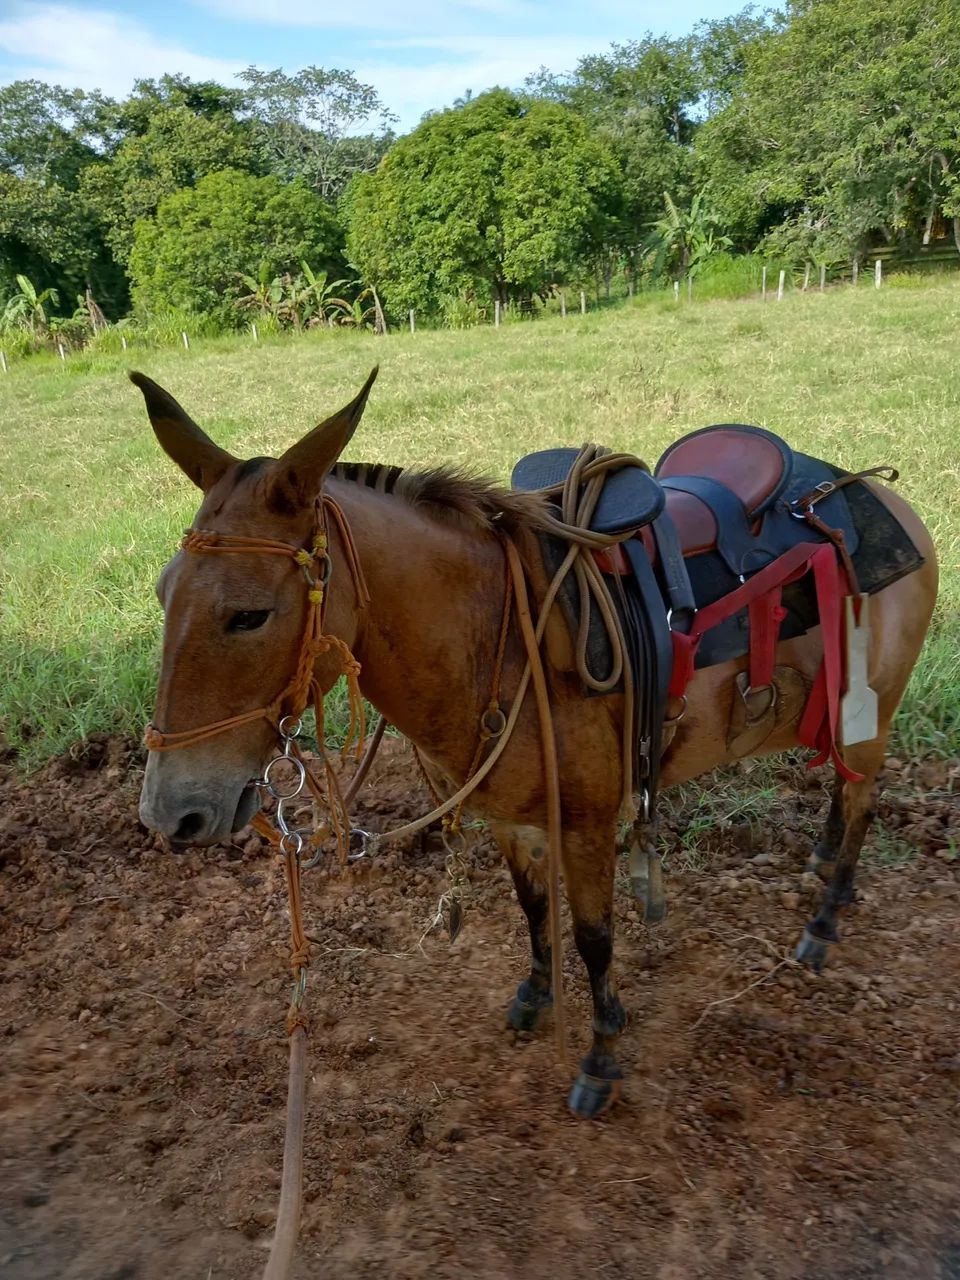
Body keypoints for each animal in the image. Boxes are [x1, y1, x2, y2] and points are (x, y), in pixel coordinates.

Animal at [133, 368, 938, 1118]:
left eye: (249, 615)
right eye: (163, 592)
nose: (170, 811)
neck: (497, 633)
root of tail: (866, 490)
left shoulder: (586, 824)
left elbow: (594, 937)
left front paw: (601, 1054)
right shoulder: (509, 817)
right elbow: (531, 909)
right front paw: (535, 993)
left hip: (873, 713)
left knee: (863, 799)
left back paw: (824, 920)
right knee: (843, 792)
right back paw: (825, 866)